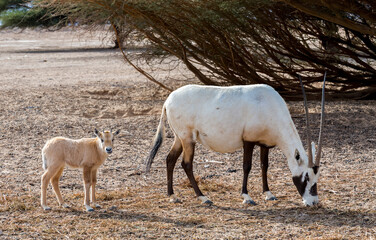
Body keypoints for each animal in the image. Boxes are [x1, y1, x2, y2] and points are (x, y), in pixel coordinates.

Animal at [145, 75, 324, 206]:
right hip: (188, 139)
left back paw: (172, 196)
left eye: (317, 177)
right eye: (306, 176)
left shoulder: (265, 143)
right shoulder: (248, 140)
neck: (268, 104)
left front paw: (268, 193)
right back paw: (203, 197)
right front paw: (247, 196)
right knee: (186, 164)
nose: (313, 202)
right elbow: (247, 167)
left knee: (170, 159)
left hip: (179, 138)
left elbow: (264, 166)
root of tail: (168, 101)